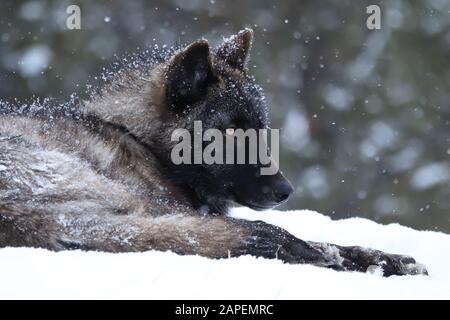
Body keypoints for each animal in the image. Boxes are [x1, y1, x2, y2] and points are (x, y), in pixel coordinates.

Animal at [0, 28, 428, 276]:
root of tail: (18, 219)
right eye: (231, 133)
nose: (286, 191)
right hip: (137, 203)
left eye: (261, 128)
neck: (139, 140)